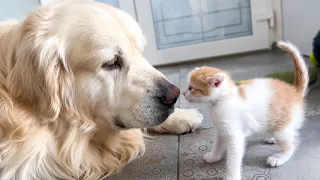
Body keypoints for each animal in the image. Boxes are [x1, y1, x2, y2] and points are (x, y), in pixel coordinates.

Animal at [184, 41, 308, 180]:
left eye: (191, 88)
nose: (183, 93)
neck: (222, 100)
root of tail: (294, 90)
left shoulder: (235, 136)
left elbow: (233, 159)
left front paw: (231, 176)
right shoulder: (221, 130)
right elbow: (217, 145)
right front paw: (213, 157)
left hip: (282, 128)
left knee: (291, 144)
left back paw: (279, 158)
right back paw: (270, 138)